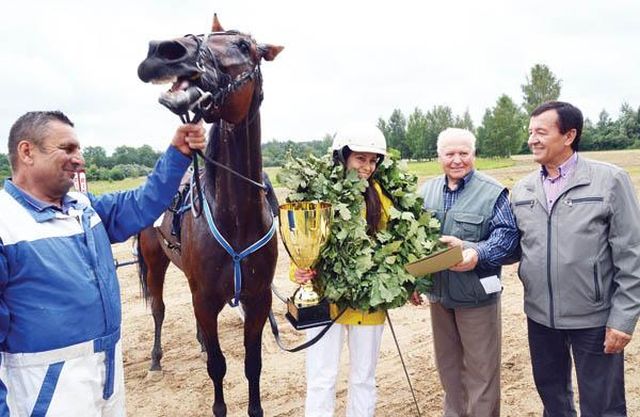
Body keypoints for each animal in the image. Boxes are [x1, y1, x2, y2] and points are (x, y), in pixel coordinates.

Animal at [136, 14, 282, 414]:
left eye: (245, 46)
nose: (164, 51)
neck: (237, 220)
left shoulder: (257, 299)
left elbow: (253, 363)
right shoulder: (204, 298)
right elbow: (218, 366)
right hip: (156, 262)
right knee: (158, 309)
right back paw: (155, 360)